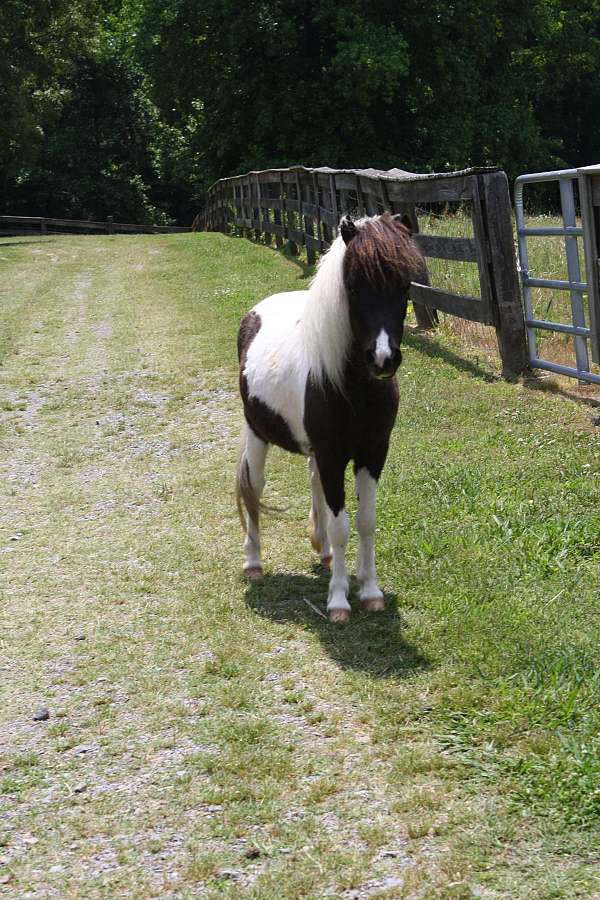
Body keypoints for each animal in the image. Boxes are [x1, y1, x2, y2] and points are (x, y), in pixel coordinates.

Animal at [235, 212, 426, 622]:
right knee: (254, 488)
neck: (351, 387)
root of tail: (255, 313)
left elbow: (366, 522)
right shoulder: (332, 454)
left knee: (315, 487)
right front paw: (338, 600)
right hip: (258, 434)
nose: (383, 359)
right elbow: (342, 527)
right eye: (352, 285)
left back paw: (323, 553)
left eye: (404, 285)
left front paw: (370, 591)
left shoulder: (372, 453)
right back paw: (254, 563)